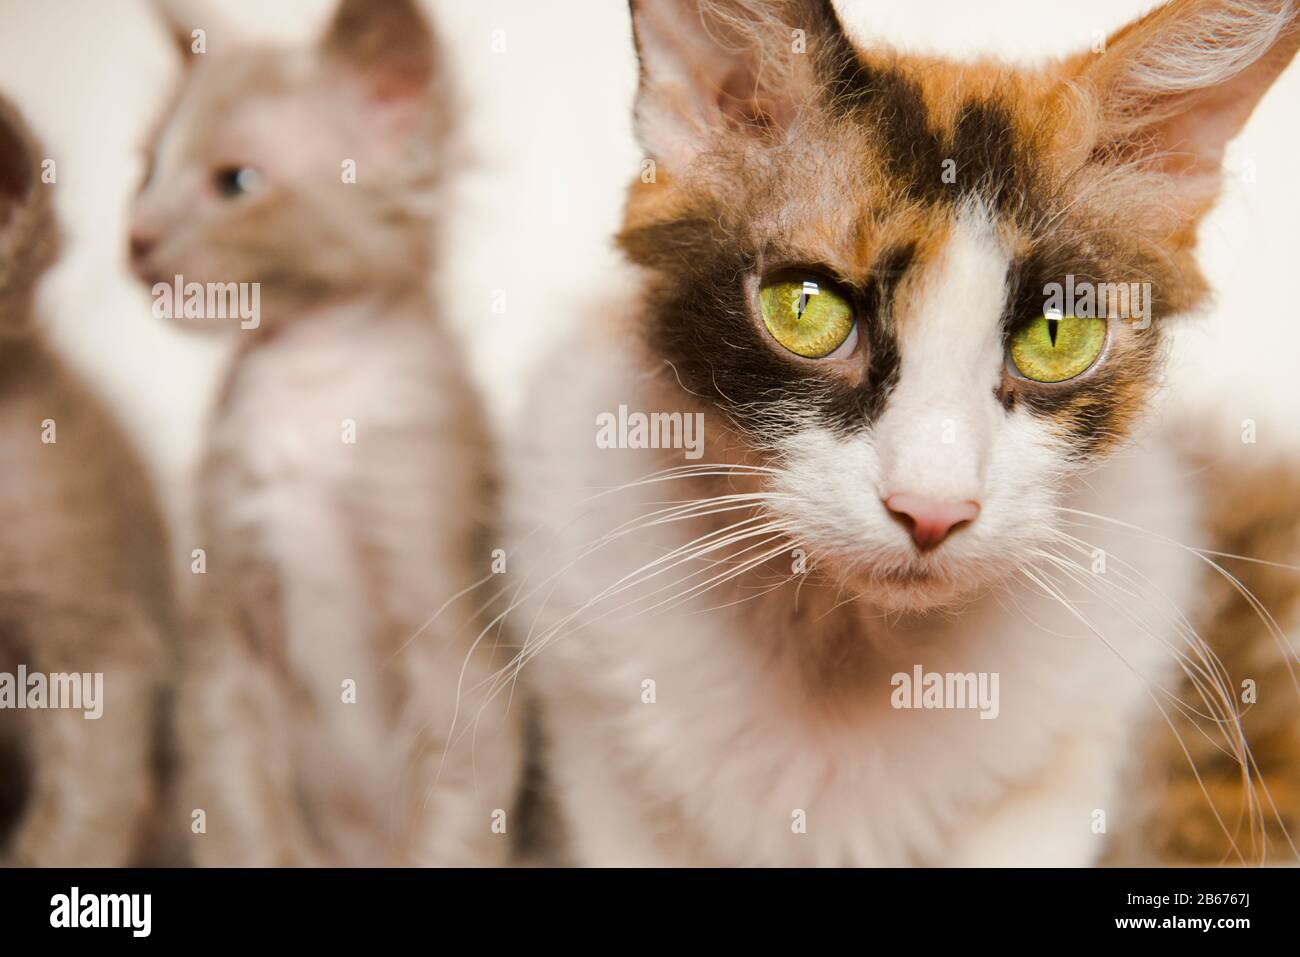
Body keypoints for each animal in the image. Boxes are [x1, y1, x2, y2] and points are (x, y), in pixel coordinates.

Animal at [129, 0, 520, 868]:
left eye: (234, 183)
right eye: (144, 172)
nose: (136, 237)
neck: (305, 388)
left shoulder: (455, 649)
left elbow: (448, 820)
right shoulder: (225, 645)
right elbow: (241, 813)